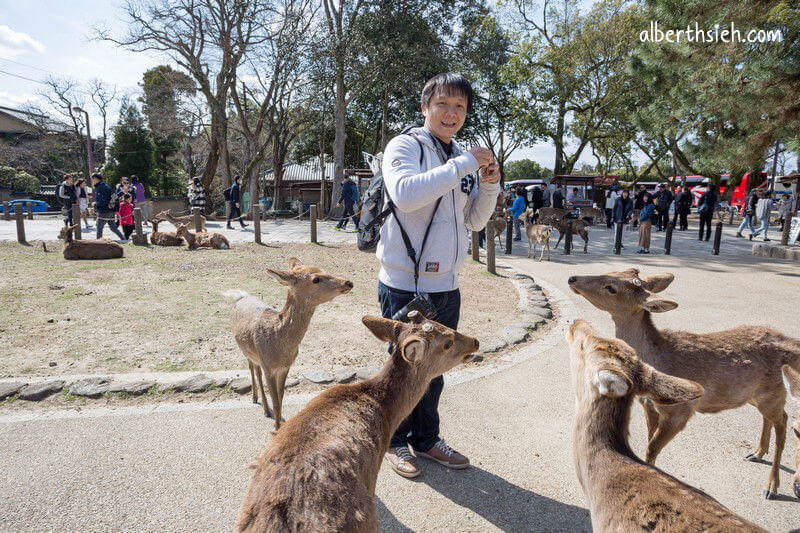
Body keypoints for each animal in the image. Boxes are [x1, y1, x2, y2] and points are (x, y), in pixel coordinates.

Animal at [223, 256, 352, 428]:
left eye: (324, 269)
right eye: (316, 279)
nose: (348, 282)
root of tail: (242, 296)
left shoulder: (286, 366)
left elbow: (281, 397)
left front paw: (280, 424)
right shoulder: (269, 367)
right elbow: (276, 402)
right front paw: (276, 427)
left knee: (254, 367)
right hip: (246, 351)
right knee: (254, 370)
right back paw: (261, 404)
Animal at [234, 312, 478, 532]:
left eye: (441, 322)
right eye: (447, 343)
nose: (475, 341)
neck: (386, 413)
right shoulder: (374, 468)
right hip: (366, 521)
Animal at [564, 270, 800, 498]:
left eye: (611, 288)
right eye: (613, 271)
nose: (572, 278)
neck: (658, 360)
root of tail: (790, 344)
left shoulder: (681, 412)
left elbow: (651, 448)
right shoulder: (649, 406)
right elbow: (649, 443)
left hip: (773, 393)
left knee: (783, 421)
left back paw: (771, 486)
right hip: (756, 396)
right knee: (772, 418)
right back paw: (757, 453)